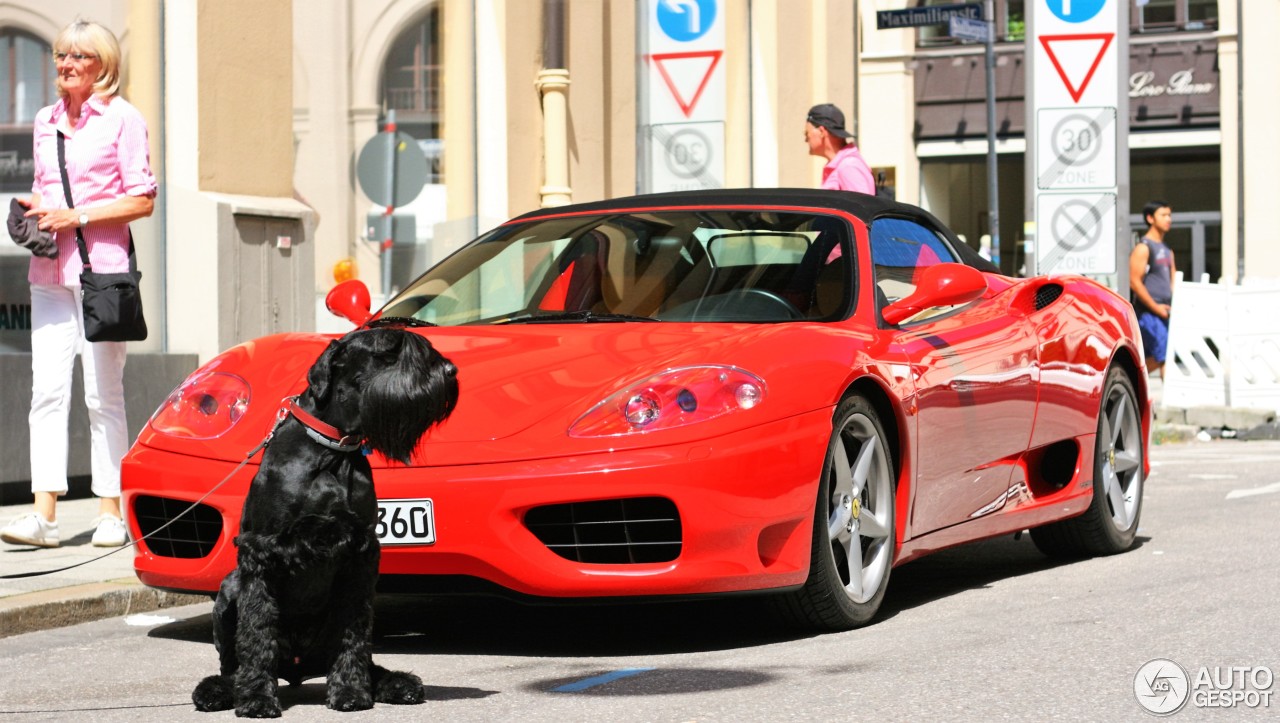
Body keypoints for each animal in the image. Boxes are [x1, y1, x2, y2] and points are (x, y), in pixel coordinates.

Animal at [192, 327, 458, 716]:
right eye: (390, 350)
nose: (450, 372)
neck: (331, 450)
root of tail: (297, 669)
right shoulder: (261, 552)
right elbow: (256, 632)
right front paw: (256, 698)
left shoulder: (359, 553)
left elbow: (353, 633)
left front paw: (349, 691)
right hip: (230, 588)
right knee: (233, 663)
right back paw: (219, 690)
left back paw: (394, 683)